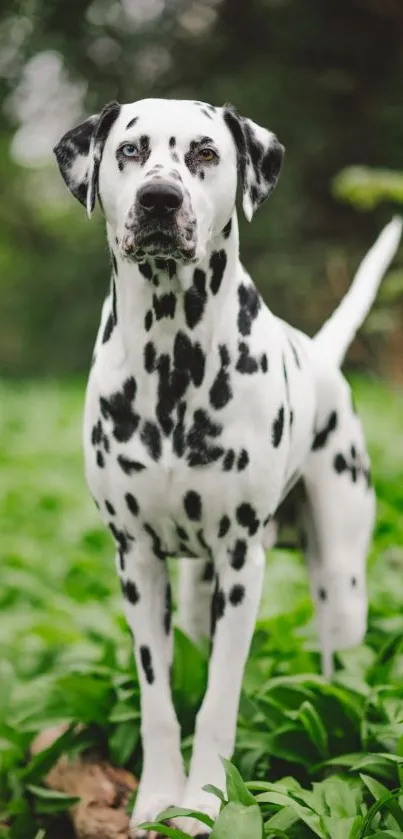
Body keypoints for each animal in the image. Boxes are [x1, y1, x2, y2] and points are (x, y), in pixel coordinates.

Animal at [54, 97, 403, 832]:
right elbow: (159, 702)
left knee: (336, 662)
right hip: (191, 587)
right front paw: (157, 798)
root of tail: (321, 355)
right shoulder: (137, 563)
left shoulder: (243, 564)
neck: (171, 359)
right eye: (130, 151)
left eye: (205, 153)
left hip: (340, 584)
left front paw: (203, 803)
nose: (159, 199)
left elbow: (218, 700)